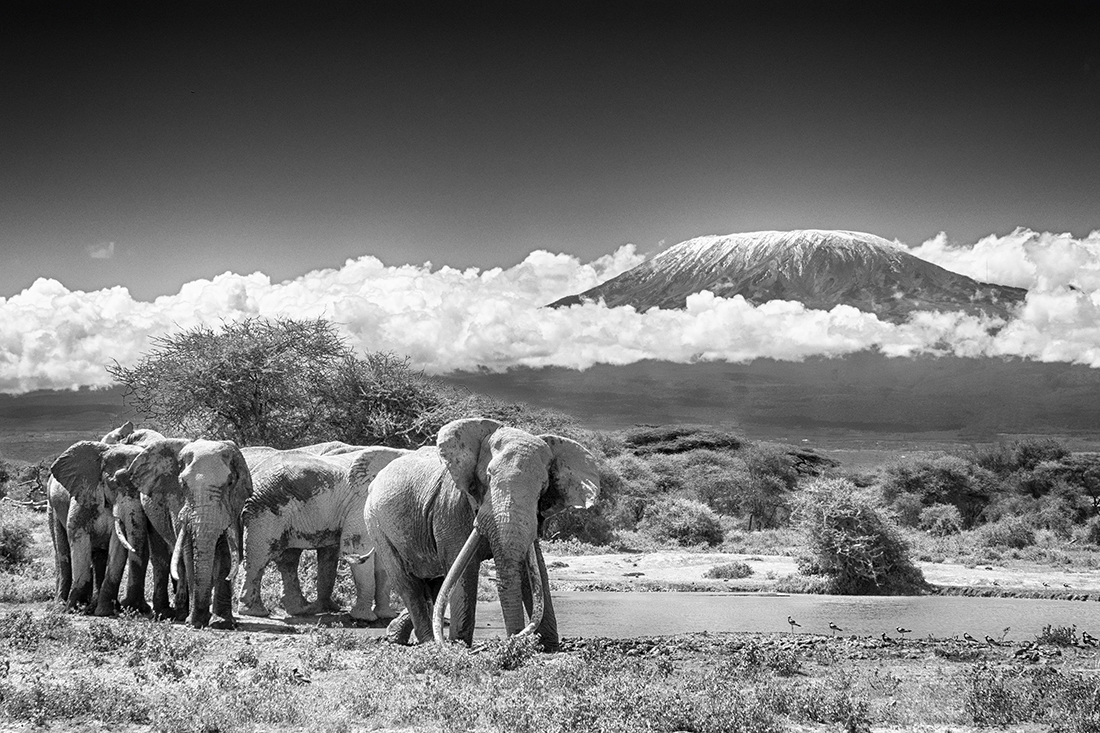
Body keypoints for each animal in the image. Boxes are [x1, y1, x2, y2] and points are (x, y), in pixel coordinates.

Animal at [47, 422, 165, 615]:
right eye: (115, 482)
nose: (140, 608)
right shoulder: (85, 493)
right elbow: (78, 538)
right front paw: (75, 608)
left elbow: (117, 546)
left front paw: (104, 612)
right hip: (52, 506)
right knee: (63, 553)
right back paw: (62, 605)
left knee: (99, 557)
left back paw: (92, 606)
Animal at [116, 438, 252, 629]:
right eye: (182, 484)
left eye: (230, 483)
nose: (199, 621)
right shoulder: (175, 500)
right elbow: (188, 553)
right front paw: (195, 621)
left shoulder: (233, 507)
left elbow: (225, 552)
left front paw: (221, 623)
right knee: (163, 558)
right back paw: (170, 614)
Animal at [237, 445, 410, 621]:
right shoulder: (360, 504)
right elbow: (358, 547)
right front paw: (364, 618)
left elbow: (383, 560)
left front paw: (386, 616)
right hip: (267, 509)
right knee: (259, 557)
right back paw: (255, 612)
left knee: (289, 559)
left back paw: (301, 609)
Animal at [365, 418, 600, 650]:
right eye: (488, 476)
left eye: (543, 486)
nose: (511, 640)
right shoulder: (452, 506)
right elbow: (465, 569)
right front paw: (458, 645)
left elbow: (535, 570)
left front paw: (548, 646)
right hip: (375, 524)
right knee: (409, 585)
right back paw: (430, 643)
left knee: (435, 583)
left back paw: (397, 636)